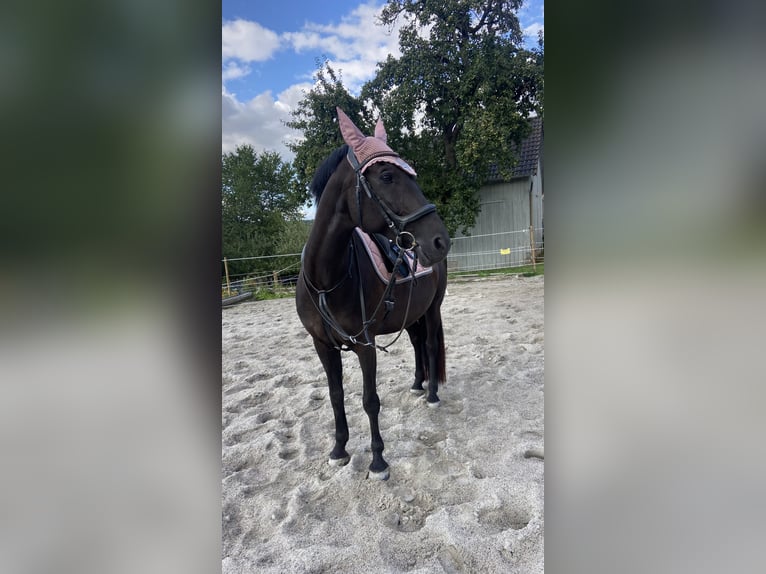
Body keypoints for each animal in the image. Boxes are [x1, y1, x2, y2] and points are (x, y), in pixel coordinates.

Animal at [295, 108, 451, 481]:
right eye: (387, 175)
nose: (440, 240)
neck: (326, 281)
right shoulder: (322, 345)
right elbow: (336, 395)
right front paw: (339, 450)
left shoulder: (365, 345)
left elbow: (370, 400)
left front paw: (378, 461)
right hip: (411, 315)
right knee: (416, 345)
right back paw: (417, 384)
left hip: (433, 309)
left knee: (428, 345)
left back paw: (432, 395)